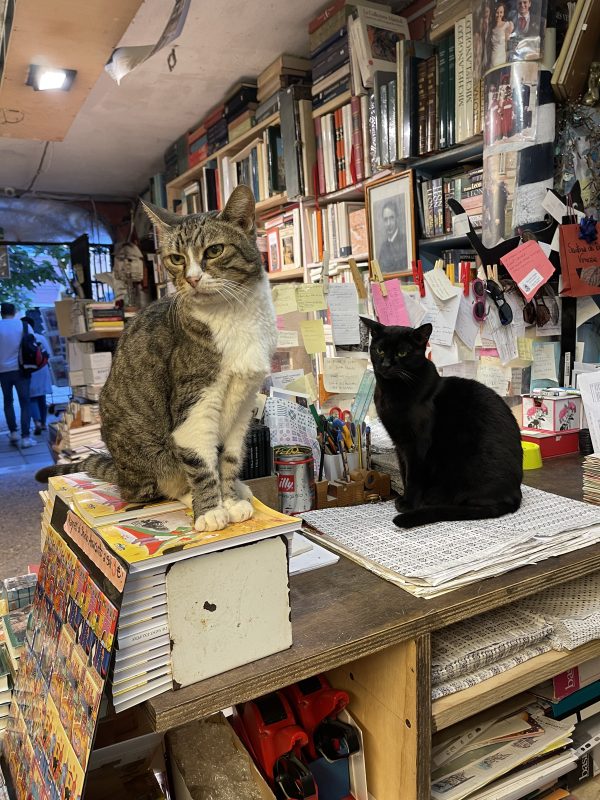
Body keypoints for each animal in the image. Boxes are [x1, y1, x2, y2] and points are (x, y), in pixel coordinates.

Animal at [35, 186, 274, 532]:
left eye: (214, 250)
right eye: (176, 259)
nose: (192, 279)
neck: (233, 314)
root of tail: (120, 473)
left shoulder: (243, 408)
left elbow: (228, 460)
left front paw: (229, 499)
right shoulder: (195, 405)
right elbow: (202, 464)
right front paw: (210, 510)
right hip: (149, 455)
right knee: (158, 486)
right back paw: (185, 495)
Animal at [358, 316, 524, 528]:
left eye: (402, 353)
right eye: (379, 350)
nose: (386, 364)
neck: (391, 391)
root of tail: (515, 495)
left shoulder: (417, 444)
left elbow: (413, 475)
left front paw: (408, 504)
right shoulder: (399, 444)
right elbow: (403, 472)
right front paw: (405, 498)